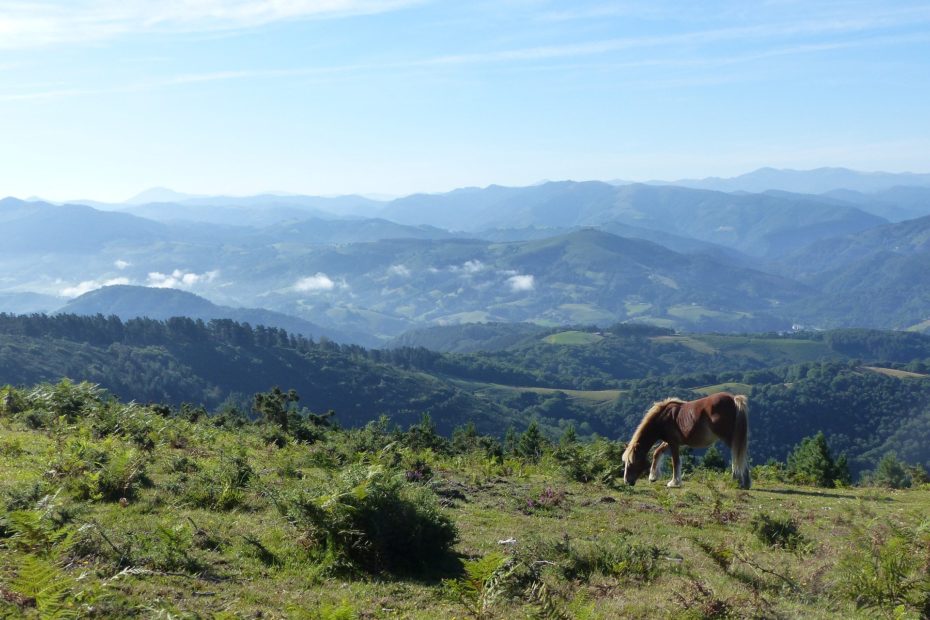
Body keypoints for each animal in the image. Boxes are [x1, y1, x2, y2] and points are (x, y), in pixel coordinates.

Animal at [620, 392, 752, 490]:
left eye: (631, 462)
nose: (627, 481)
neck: (663, 417)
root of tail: (733, 399)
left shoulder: (673, 443)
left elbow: (675, 462)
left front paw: (674, 482)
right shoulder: (670, 442)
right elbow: (657, 452)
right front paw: (653, 476)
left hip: (730, 438)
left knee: (737, 456)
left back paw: (737, 482)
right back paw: (744, 483)